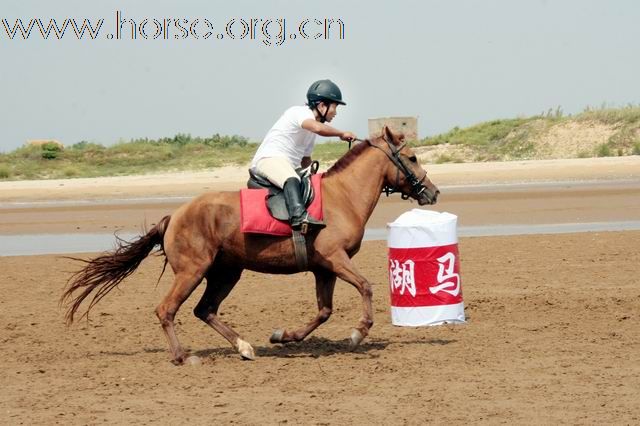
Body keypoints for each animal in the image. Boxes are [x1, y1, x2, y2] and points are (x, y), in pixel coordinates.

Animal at [61, 125, 440, 364]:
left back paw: (244, 347)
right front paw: (358, 333)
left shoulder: (324, 268)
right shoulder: (335, 258)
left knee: (205, 310)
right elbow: (365, 286)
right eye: (413, 158)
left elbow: (323, 311)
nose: (433, 192)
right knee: (167, 309)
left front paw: (283, 336)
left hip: (226, 273)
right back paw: (183, 356)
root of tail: (173, 216)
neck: (343, 196)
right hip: (193, 271)